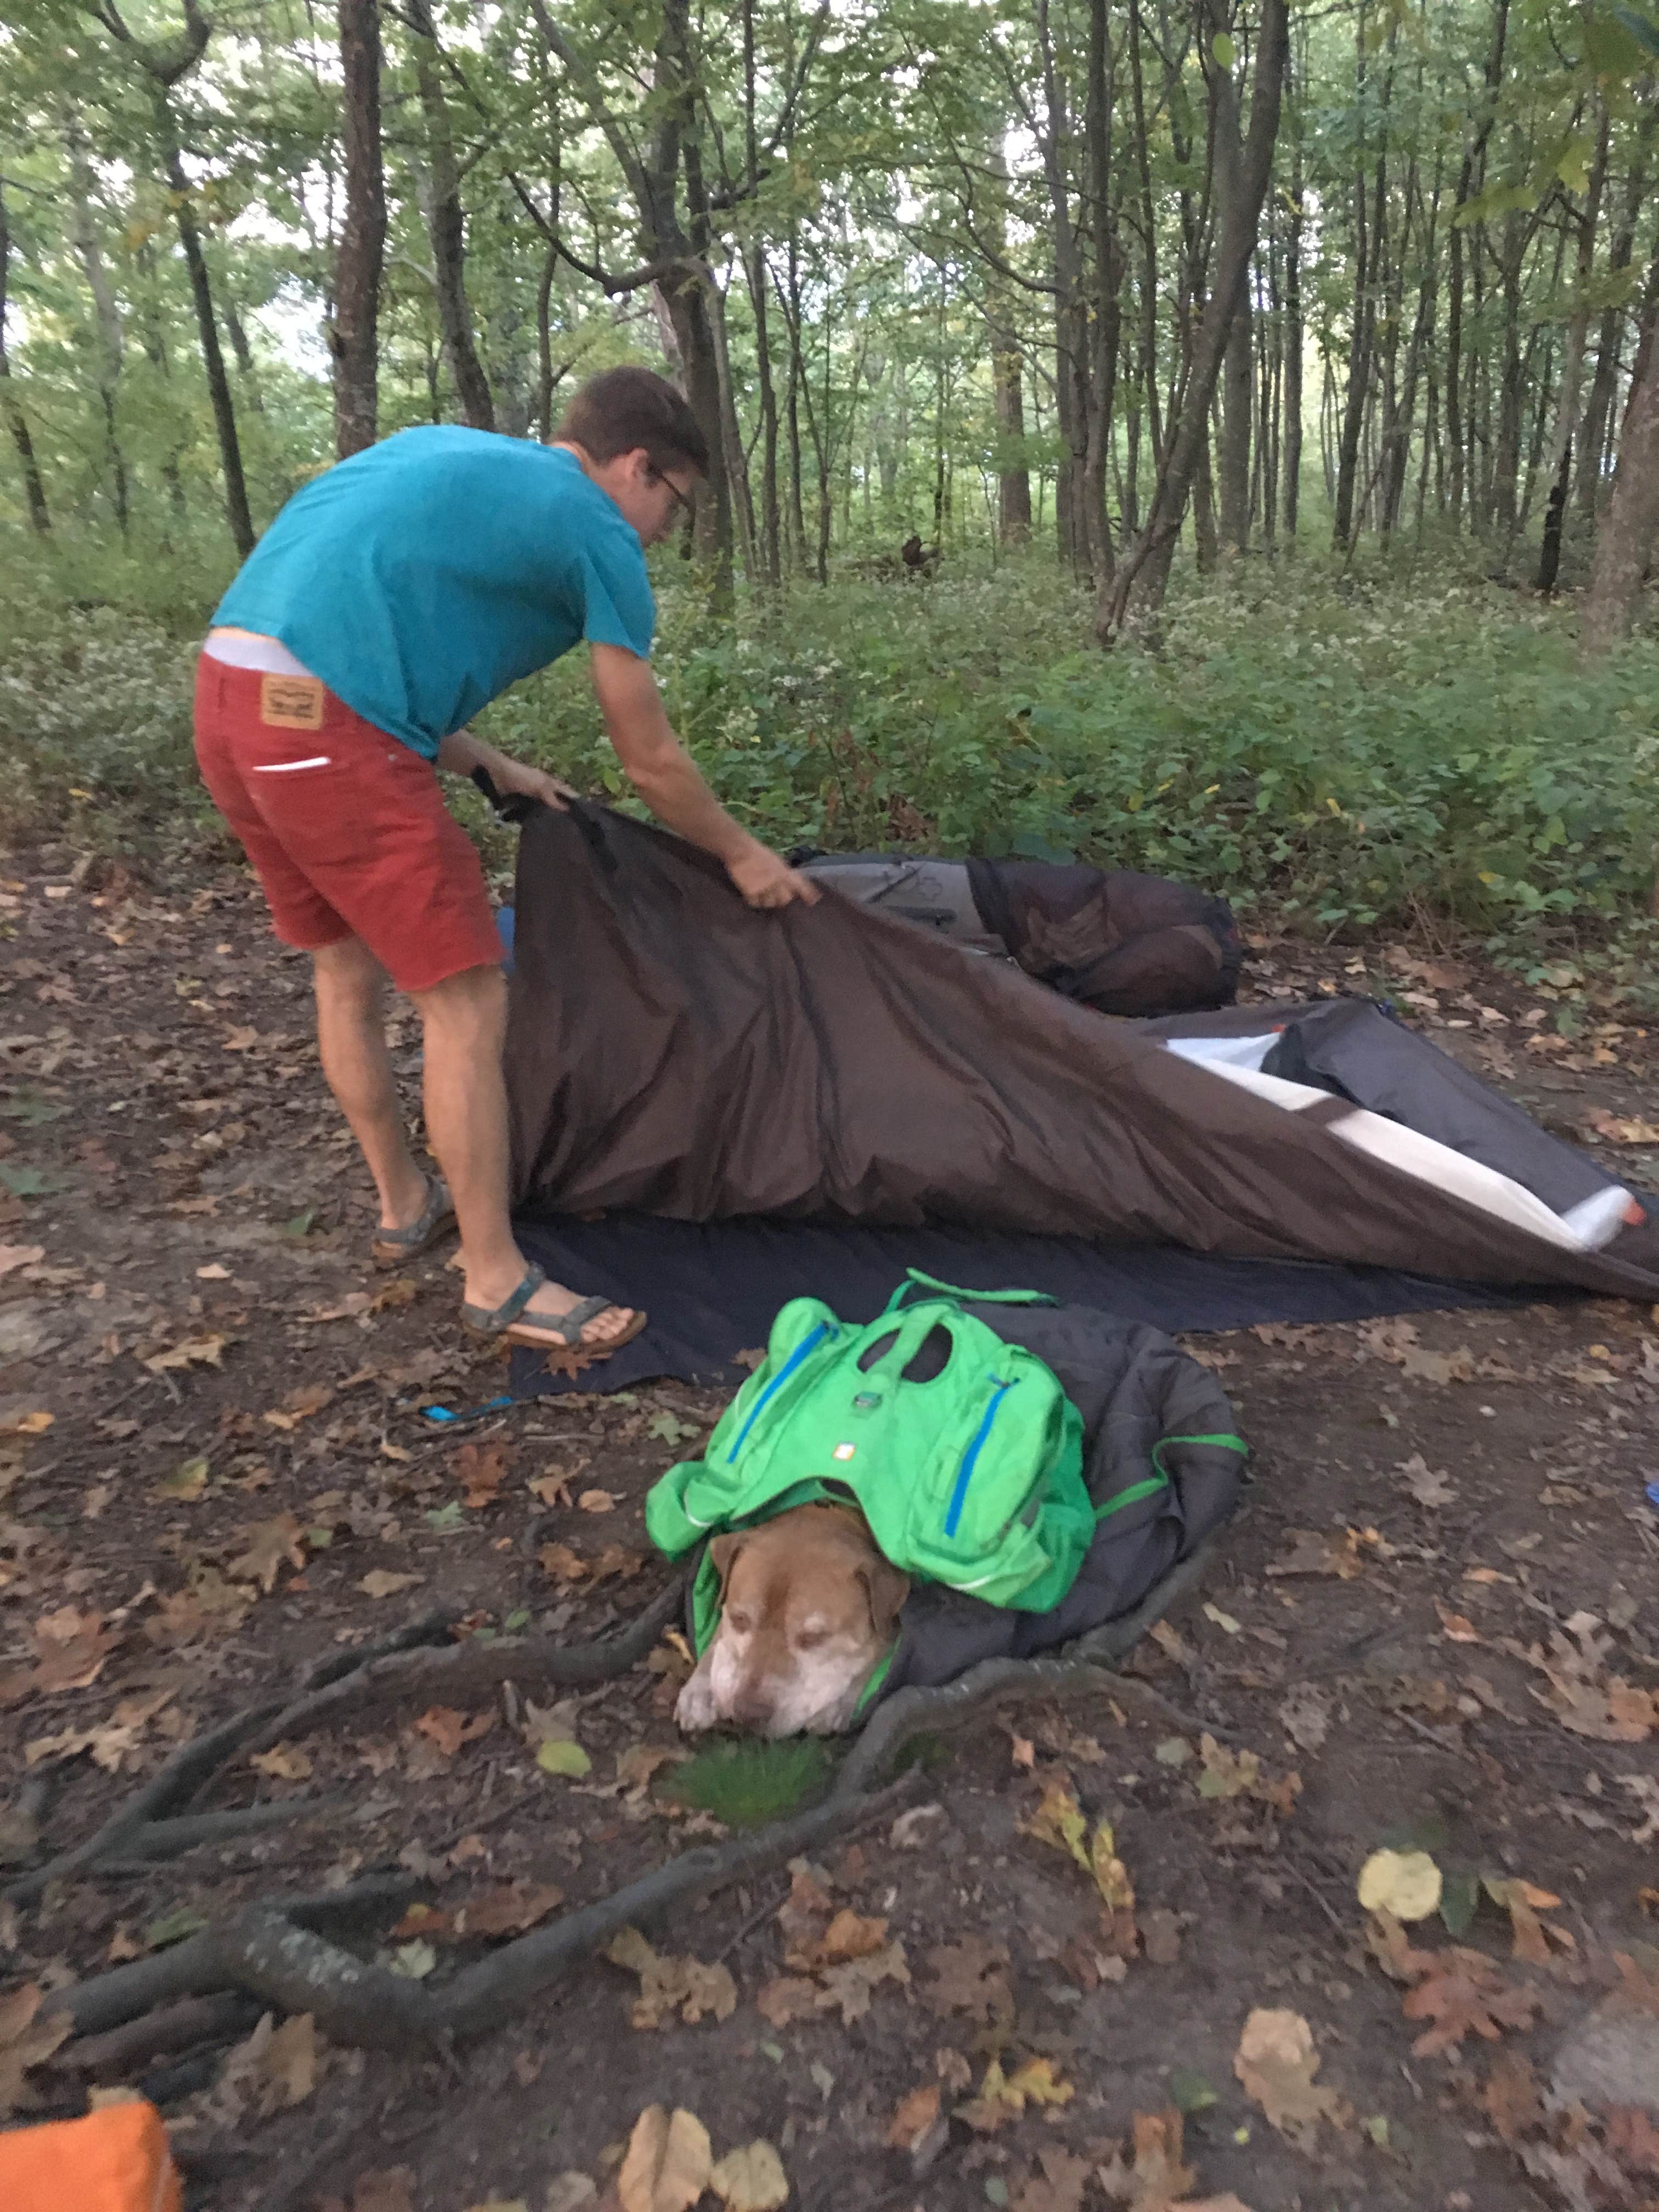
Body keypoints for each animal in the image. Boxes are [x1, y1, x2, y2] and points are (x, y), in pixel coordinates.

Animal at [672, 1504, 911, 1743]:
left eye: (814, 1637)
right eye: (739, 1619)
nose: (748, 1714)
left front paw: (836, 1707)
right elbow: (720, 1636)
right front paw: (700, 1690)